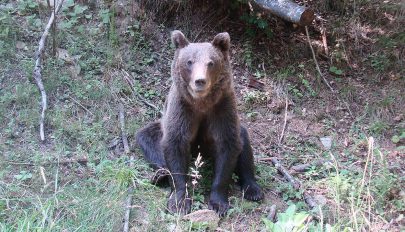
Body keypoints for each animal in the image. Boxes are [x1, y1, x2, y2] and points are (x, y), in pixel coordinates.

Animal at [136, 30, 262, 216]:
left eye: (211, 63)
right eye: (189, 61)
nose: (200, 81)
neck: (201, 103)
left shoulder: (222, 108)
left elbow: (228, 146)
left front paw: (218, 203)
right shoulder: (182, 108)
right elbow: (175, 144)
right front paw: (179, 201)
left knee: (244, 143)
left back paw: (253, 189)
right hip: (159, 127)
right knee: (147, 138)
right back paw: (161, 175)